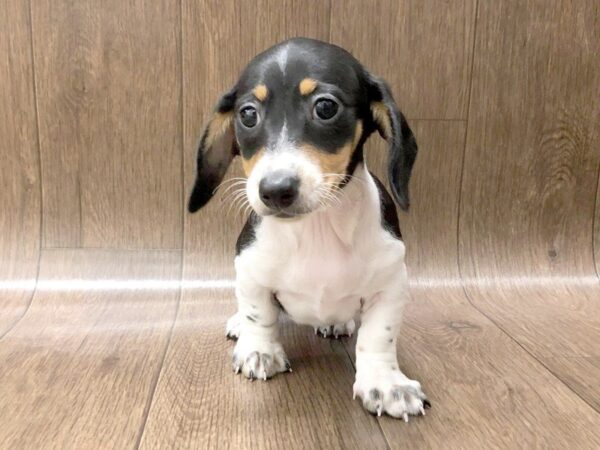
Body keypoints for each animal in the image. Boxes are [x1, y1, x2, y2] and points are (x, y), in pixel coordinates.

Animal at [188, 37, 426, 418]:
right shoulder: (249, 269)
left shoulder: (390, 286)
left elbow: (378, 336)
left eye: (326, 107)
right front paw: (260, 350)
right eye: (247, 114)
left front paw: (386, 382)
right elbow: (259, 313)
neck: (316, 230)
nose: (275, 190)